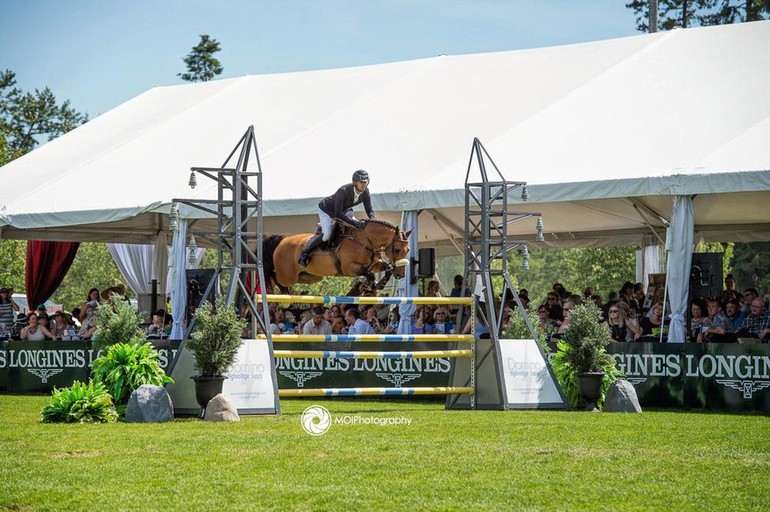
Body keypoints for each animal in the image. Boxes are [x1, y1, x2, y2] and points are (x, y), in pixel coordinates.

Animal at [260, 219, 412, 292]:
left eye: (408, 250)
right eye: (397, 249)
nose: (401, 275)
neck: (364, 240)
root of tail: (281, 240)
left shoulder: (374, 264)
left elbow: (386, 269)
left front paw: (379, 285)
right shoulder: (349, 268)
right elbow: (369, 274)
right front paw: (369, 285)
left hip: (310, 276)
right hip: (287, 276)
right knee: (277, 277)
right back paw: (282, 290)